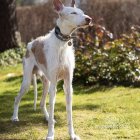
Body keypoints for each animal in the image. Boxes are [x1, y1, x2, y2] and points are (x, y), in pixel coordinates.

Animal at [11, 0, 92, 139]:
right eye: (73, 13)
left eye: (82, 12)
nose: (89, 19)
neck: (63, 43)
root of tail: (31, 43)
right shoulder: (54, 85)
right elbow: (52, 108)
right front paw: (50, 135)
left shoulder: (68, 85)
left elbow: (69, 114)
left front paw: (72, 135)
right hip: (28, 82)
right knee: (17, 99)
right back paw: (15, 117)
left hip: (46, 83)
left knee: (41, 103)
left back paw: (49, 118)